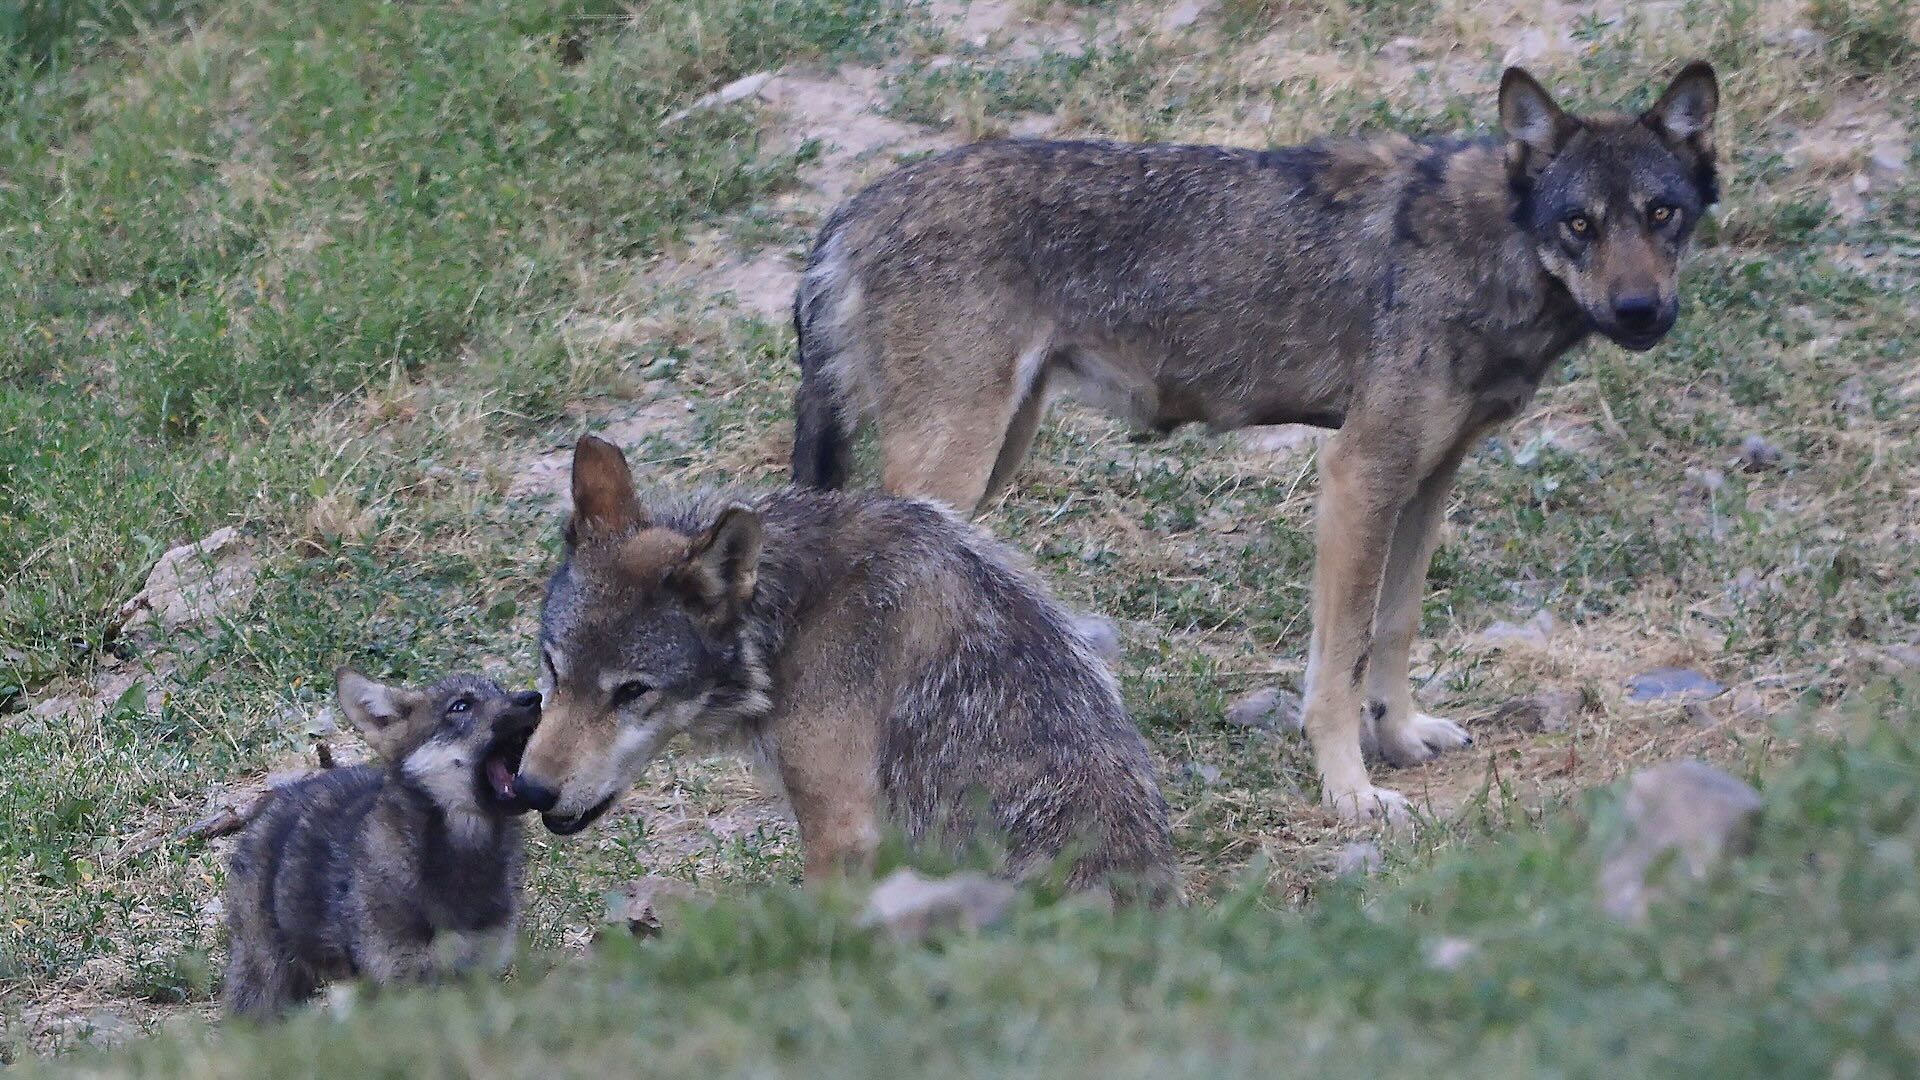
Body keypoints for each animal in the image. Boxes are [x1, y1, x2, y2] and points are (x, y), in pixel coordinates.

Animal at [222, 668, 541, 1014]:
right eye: (460, 706)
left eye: (501, 690)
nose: (534, 698)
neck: (465, 863)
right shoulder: (401, 981)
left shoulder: (482, 969)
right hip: (265, 983)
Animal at [787, 61, 1720, 814]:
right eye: (1580, 225)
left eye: (1662, 214)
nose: (1641, 311)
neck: (1490, 248)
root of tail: (850, 210)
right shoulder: (1358, 472)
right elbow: (1338, 665)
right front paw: (1352, 793)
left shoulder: (1429, 478)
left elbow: (1395, 626)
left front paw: (1401, 740)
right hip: (959, 460)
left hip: (997, 453)